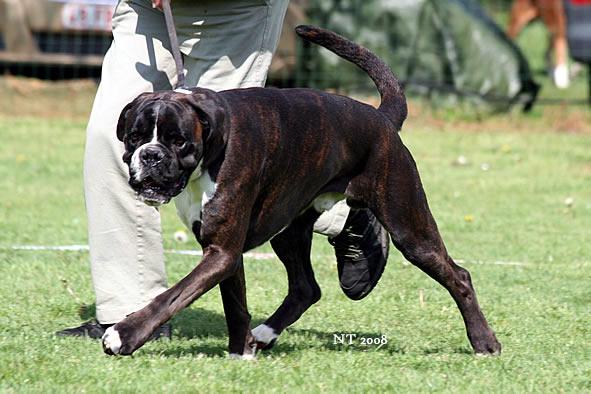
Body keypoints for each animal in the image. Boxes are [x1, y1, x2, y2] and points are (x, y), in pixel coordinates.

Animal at [104, 23, 502, 358]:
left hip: (409, 226)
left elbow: (172, 297)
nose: (151, 155)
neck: (212, 146)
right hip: (289, 229)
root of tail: (382, 118)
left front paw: (124, 335)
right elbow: (235, 304)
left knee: (458, 275)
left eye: (179, 141)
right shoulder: (224, 253)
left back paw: (485, 342)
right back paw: (264, 335)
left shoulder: (220, 253)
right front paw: (240, 352)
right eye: (134, 137)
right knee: (306, 288)